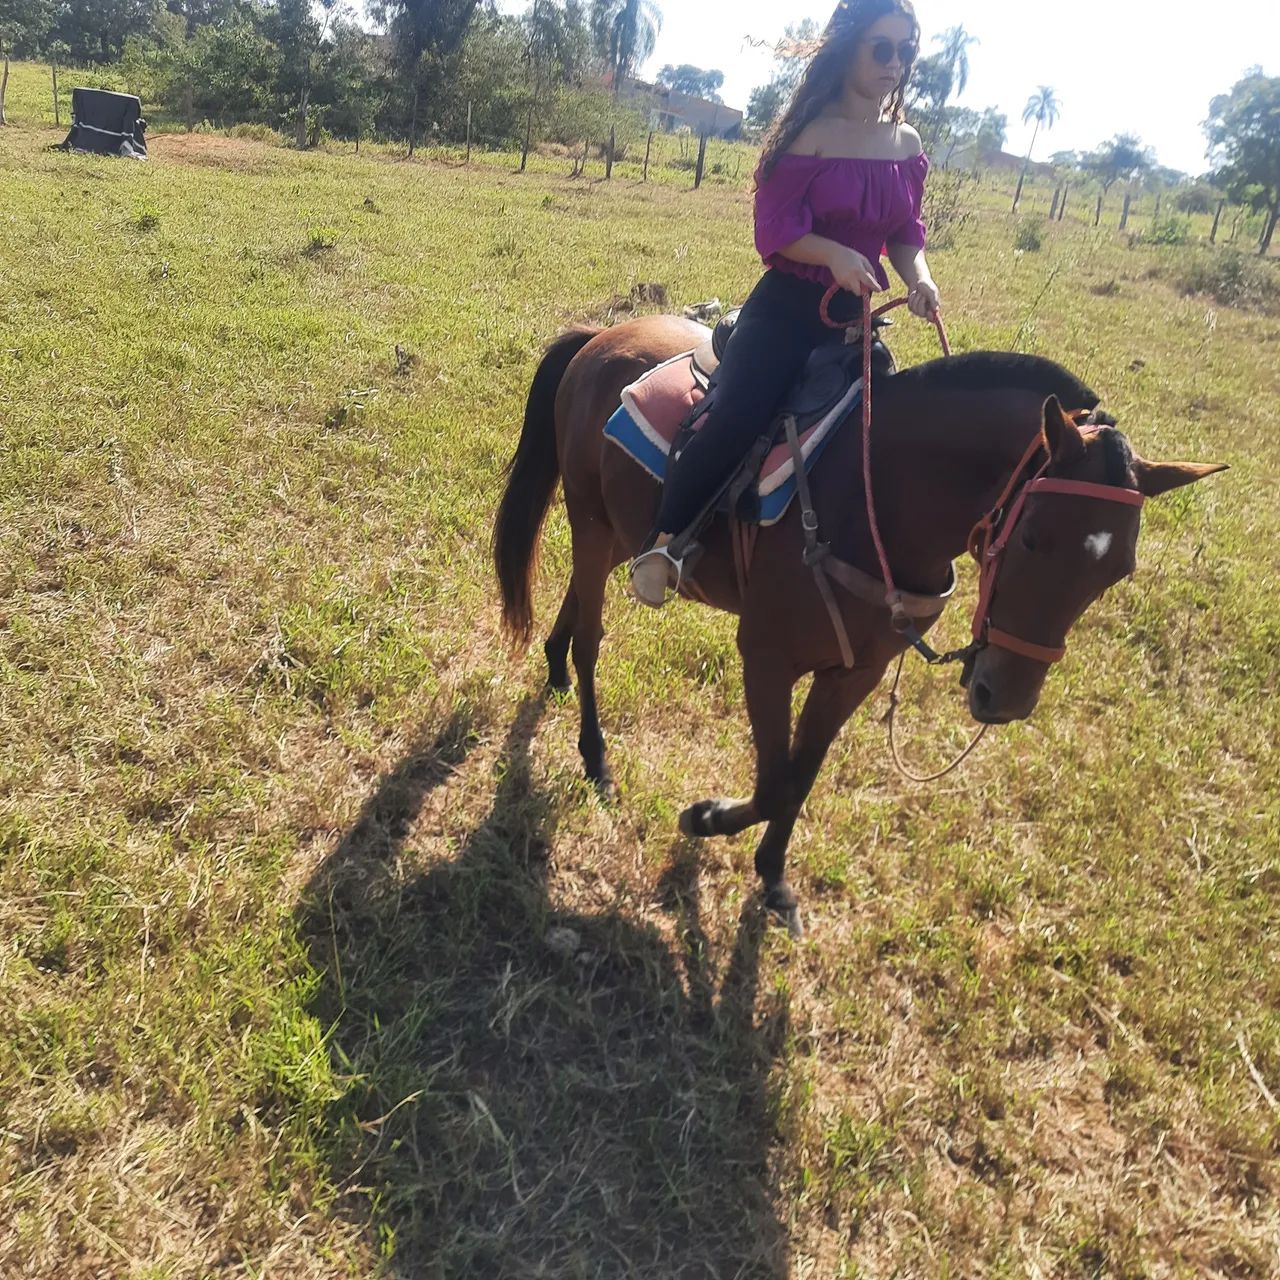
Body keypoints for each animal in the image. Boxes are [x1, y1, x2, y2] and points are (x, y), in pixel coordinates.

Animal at [493, 312, 1226, 935]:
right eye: (1032, 537)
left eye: (1118, 570)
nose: (1005, 698)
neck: (876, 496)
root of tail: (600, 335)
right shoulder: (766, 657)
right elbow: (773, 782)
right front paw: (706, 818)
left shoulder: (856, 674)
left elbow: (800, 778)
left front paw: (773, 878)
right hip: (592, 522)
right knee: (592, 638)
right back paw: (594, 754)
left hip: (621, 529)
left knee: (578, 603)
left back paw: (555, 665)